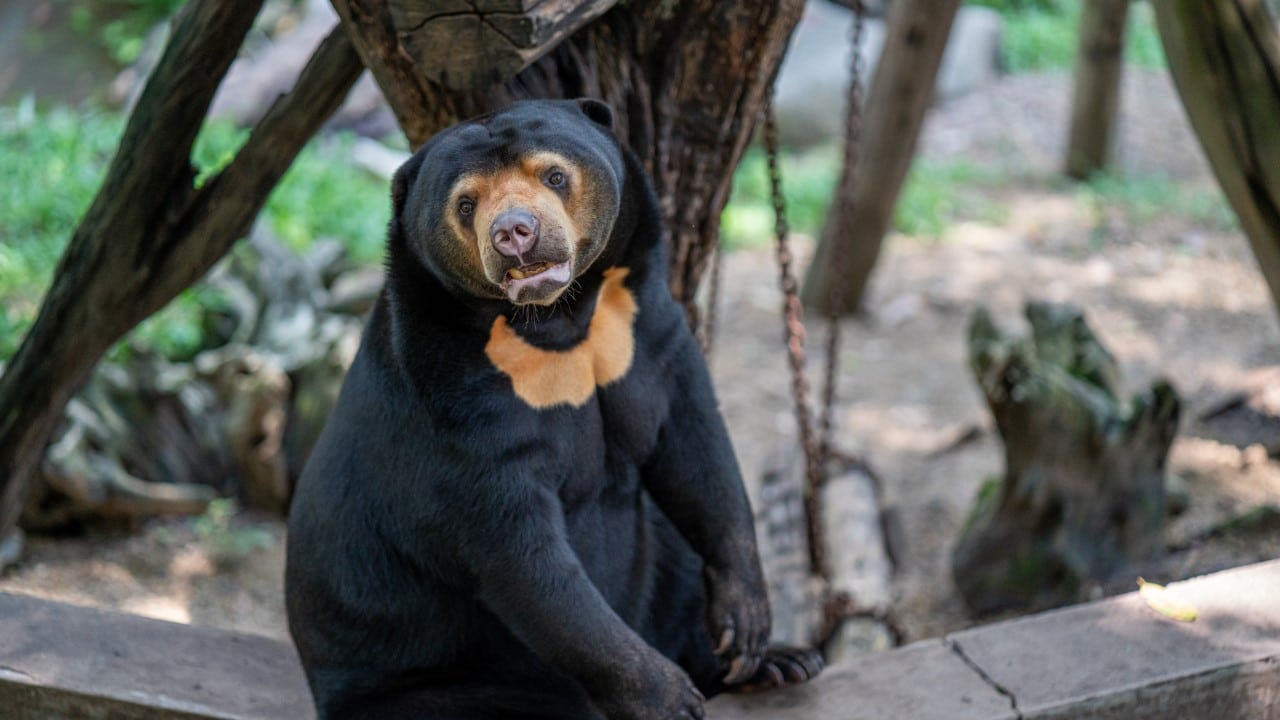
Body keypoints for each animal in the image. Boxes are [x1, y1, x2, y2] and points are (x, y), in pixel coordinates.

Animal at [285, 98, 823, 720]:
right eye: (465, 203)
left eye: (555, 176)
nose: (514, 233)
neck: (558, 319)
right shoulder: (455, 415)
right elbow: (525, 561)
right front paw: (667, 698)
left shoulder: (647, 332)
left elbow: (697, 452)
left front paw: (747, 630)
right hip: (431, 682)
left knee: (675, 558)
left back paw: (779, 664)